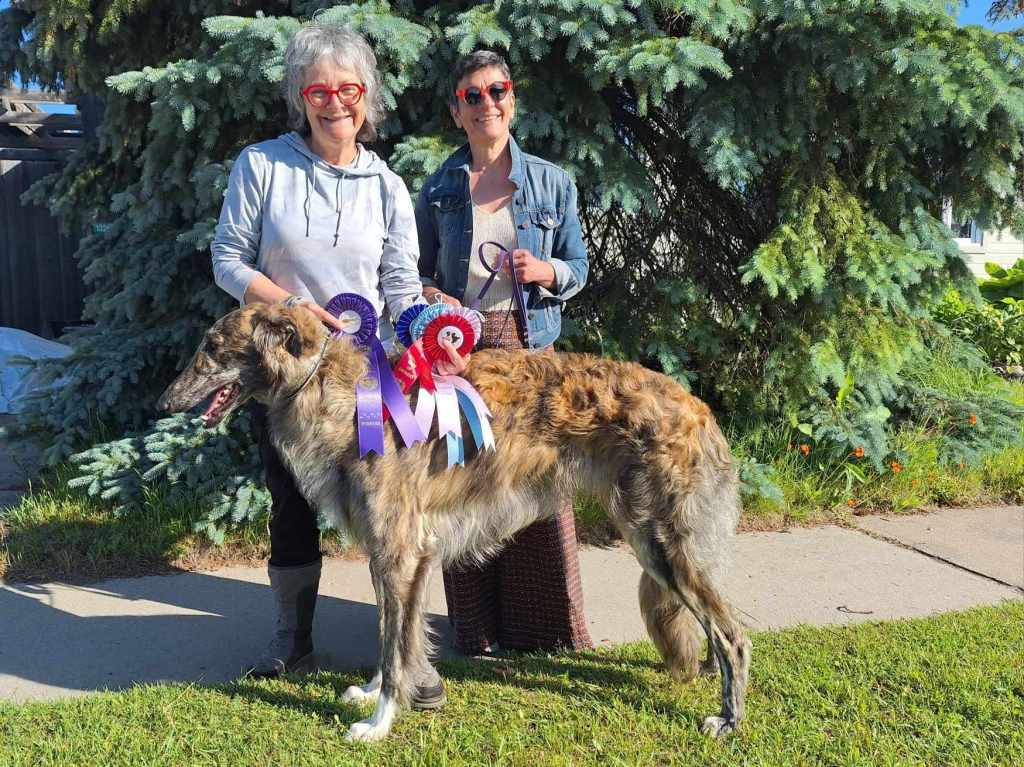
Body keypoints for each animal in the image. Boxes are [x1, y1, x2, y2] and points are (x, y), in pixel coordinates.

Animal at [157, 302, 751, 742]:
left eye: (211, 347)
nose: (163, 403)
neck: (345, 396)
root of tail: (696, 406)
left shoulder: (399, 548)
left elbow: (394, 643)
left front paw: (377, 724)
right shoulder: (396, 551)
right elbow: (392, 634)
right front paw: (373, 694)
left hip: (662, 540)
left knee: (733, 635)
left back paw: (728, 720)